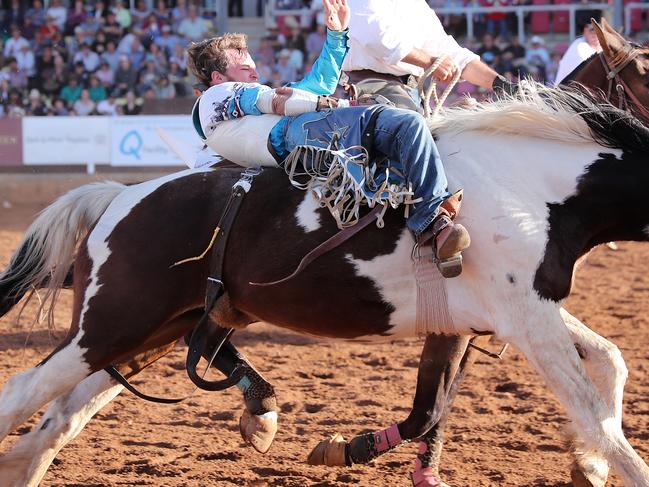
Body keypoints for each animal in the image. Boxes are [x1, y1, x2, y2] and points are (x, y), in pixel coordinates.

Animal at [1, 86, 648, 486]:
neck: (529, 183)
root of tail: (118, 197)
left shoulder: (511, 313)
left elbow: (610, 360)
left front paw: (589, 465)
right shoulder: (525, 317)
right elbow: (598, 416)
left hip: (149, 334)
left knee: (61, 415)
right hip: (110, 325)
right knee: (23, 392)